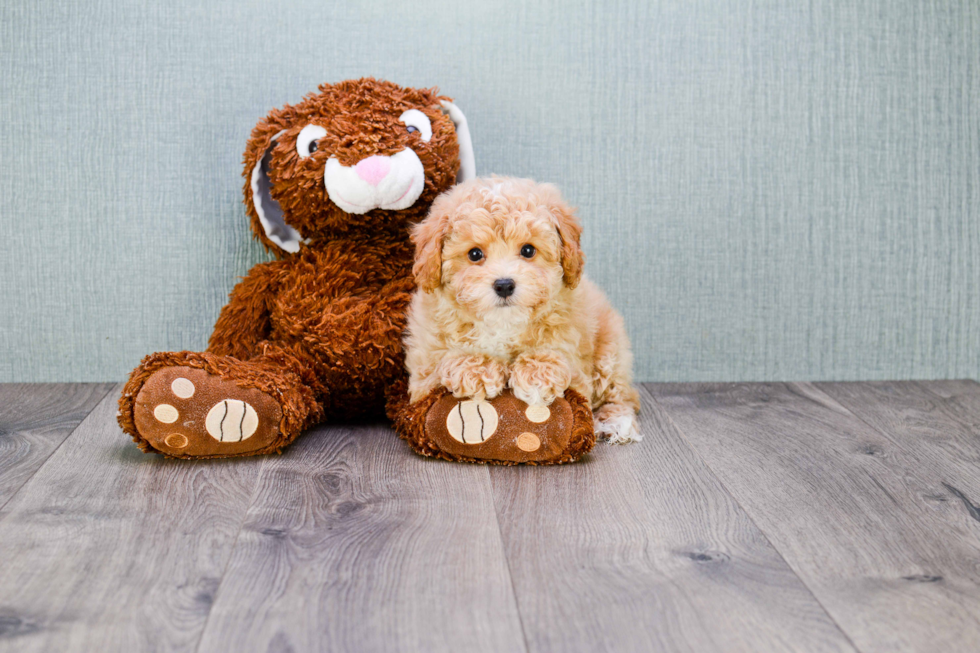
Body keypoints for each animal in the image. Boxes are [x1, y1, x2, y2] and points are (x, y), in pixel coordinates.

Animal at [402, 177, 640, 444]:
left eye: (528, 250)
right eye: (475, 254)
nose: (504, 284)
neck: (503, 324)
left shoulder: (574, 347)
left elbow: (558, 358)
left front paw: (537, 373)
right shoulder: (423, 369)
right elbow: (442, 363)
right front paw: (477, 369)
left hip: (611, 351)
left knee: (622, 395)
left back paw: (615, 421)